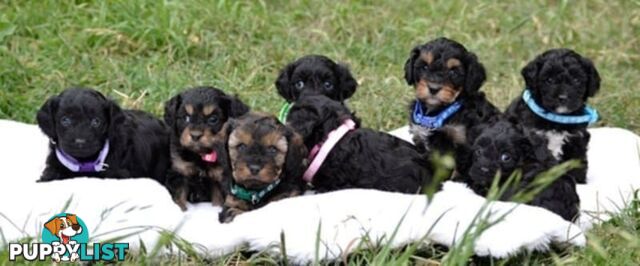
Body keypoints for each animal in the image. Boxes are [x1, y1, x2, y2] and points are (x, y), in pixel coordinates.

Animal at [504, 48, 600, 184]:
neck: (557, 120)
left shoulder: (577, 138)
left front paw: (579, 182)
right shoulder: (534, 137)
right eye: (549, 80)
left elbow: (576, 162)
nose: (563, 98)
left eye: (577, 80)